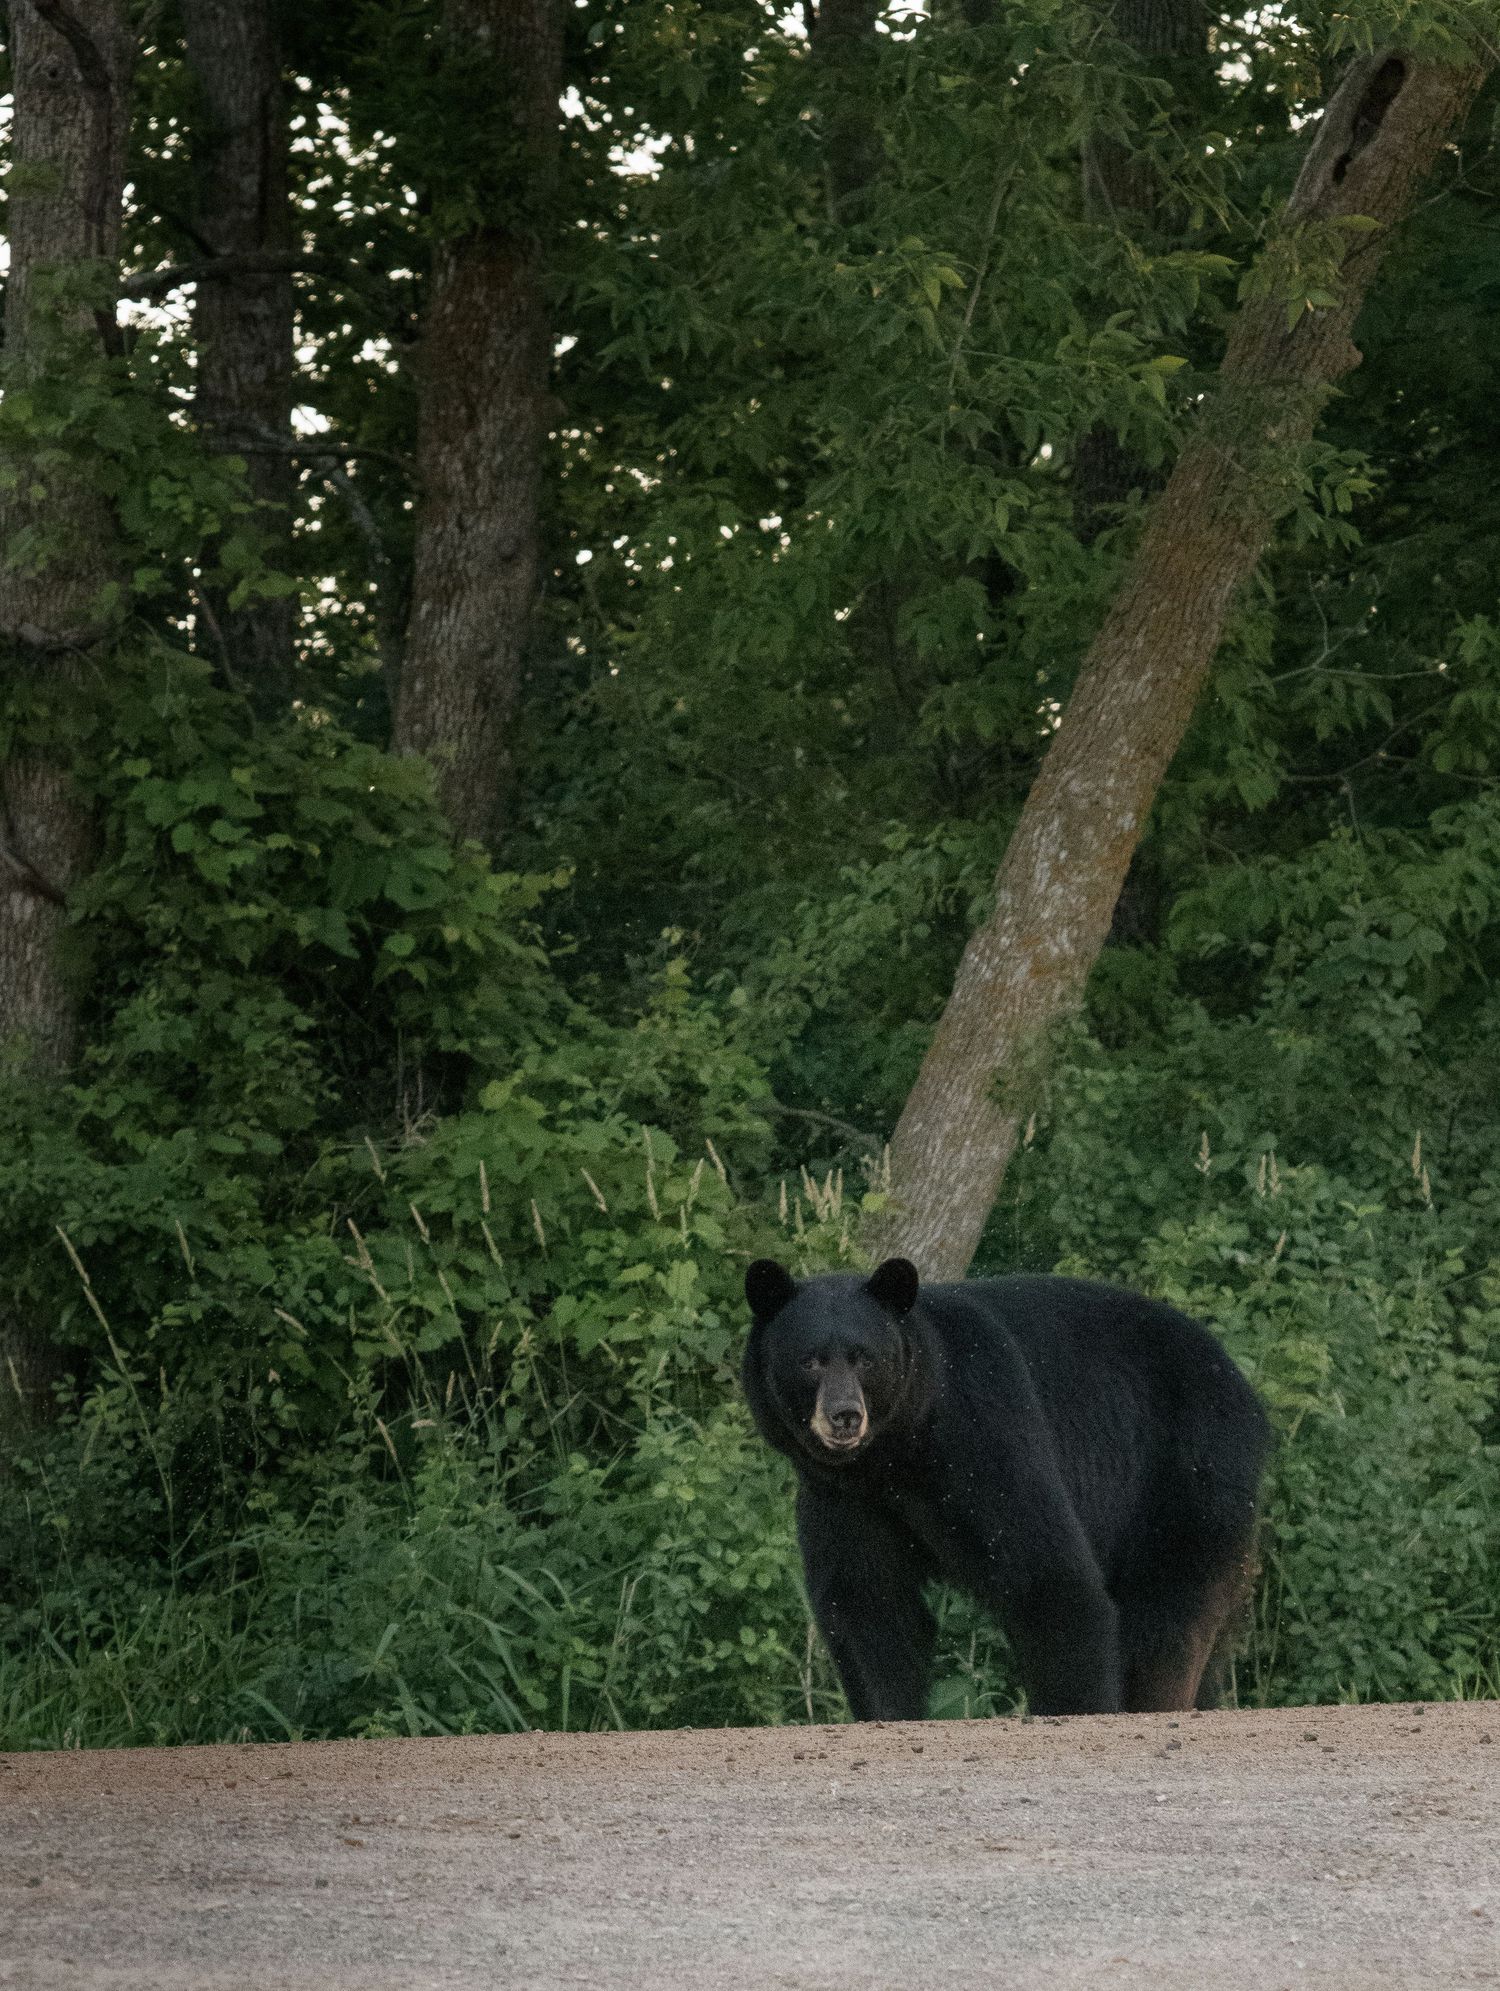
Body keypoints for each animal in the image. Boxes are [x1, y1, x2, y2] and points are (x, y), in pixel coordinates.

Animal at [741, 1256, 1271, 1720]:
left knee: (1170, 1612)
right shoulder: (847, 1498)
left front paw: (1075, 1705)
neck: (901, 1450)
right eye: (810, 1361)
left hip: (1186, 1469)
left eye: (865, 1359)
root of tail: (1241, 1383)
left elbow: (1049, 1576)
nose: (845, 1416)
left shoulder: (986, 1430)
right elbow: (868, 1606)